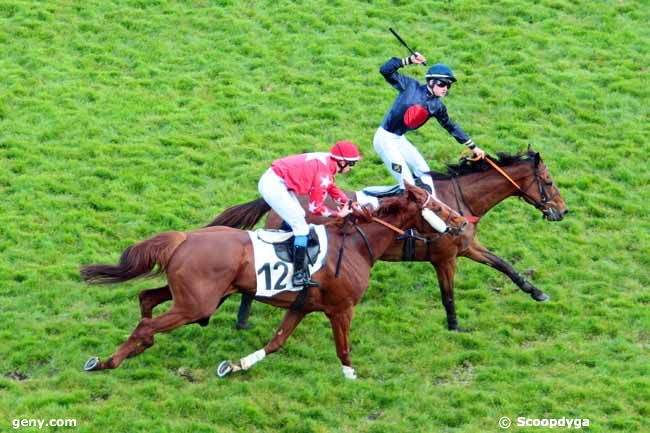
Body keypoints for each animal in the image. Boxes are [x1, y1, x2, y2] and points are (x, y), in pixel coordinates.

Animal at [79, 183, 466, 378]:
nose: (462, 223)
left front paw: (235, 366)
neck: (357, 243)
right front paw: (351, 377)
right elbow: (343, 347)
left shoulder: (302, 306)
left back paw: (130, 349)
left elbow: (276, 342)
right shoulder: (341, 309)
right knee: (148, 322)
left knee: (146, 298)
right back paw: (108, 361)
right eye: (438, 207)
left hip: (192, 296)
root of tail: (185, 238)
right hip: (196, 303)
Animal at [223, 147, 568, 330]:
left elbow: (504, 265)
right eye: (549, 181)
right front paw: (455, 326)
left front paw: (537, 292)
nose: (562, 211)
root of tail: (274, 201)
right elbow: (448, 294)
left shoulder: (467, 245)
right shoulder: (444, 257)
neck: (459, 201)